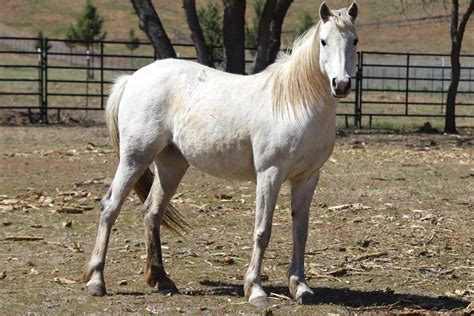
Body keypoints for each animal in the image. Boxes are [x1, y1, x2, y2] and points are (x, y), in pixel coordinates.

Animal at [84, 1, 360, 306]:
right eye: (323, 41)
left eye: (354, 40)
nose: (341, 84)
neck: (294, 102)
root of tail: (132, 78)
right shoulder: (270, 175)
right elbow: (262, 231)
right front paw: (255, 290)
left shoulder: (307, 178)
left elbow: (300, 232)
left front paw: (300, 287)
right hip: (135, 158)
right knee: (110, 207)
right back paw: (97, 280)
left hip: (171, 165)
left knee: (152, 212)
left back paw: (161, 279)